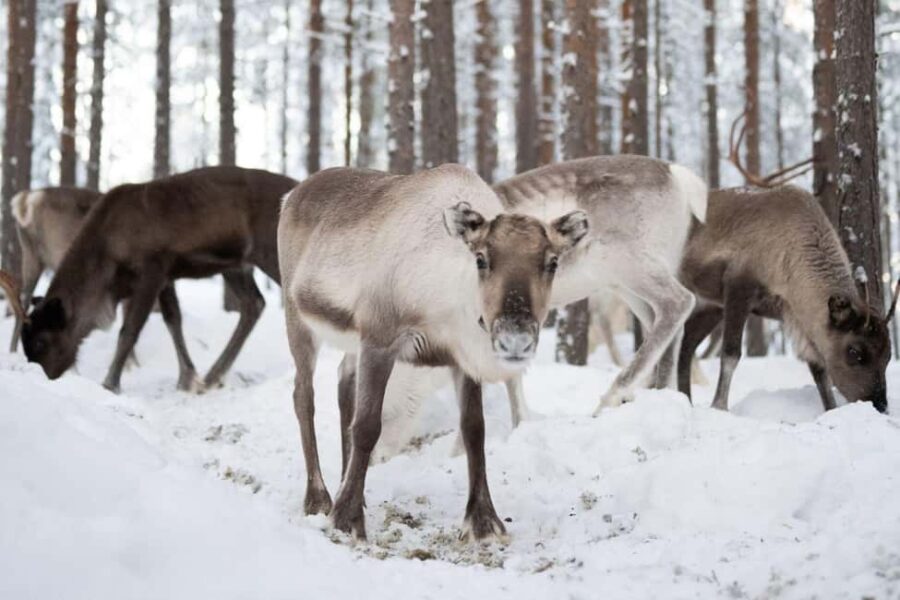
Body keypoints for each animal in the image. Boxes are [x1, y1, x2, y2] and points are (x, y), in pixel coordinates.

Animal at [17, 166, 297, 393]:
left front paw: (110, 383)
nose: (44, 376)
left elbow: (129, 330)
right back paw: (212, 376)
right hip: (235, 264)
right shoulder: (167, 277)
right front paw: (187, 378)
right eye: (24, 341)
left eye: (42, 341)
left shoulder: (151, 271)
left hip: (268, 253)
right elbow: (173, 320)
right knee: (254, 304)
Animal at [279, 163, 590, 541]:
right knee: (303, 395)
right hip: (297, 318)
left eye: (553, 262)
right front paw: (347, 520)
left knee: (343, 385)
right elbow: (367, 426)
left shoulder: (462, 361)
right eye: (481, 259)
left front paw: (483, 520)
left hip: (349, 341)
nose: (514, 338)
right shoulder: (380, 338)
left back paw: (343, 486)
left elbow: (474, 430)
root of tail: (292, 195)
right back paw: (319, 498)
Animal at [675, 114, 892, 413]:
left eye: (889, 354)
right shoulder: (739, 285)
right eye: (855, 351)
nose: (879, 404)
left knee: (685, 346)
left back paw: (681, 397)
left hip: (708, 306)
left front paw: (831, 409)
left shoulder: (794, 314)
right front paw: (719, 406)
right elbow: (731, 354)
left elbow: (819, 370)